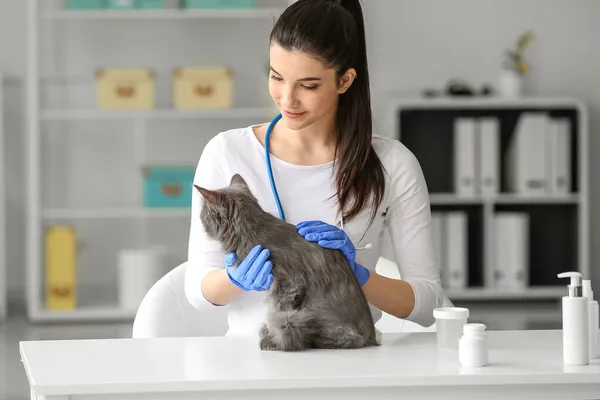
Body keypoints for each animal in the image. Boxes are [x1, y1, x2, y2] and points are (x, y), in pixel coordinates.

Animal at [195, 173, 378, 352]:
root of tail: (373, 338)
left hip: (314, 318)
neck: (251, 231)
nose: (200, 219)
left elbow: (277, 311)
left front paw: (272, 340)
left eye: (203, 213)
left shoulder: (288, 284)